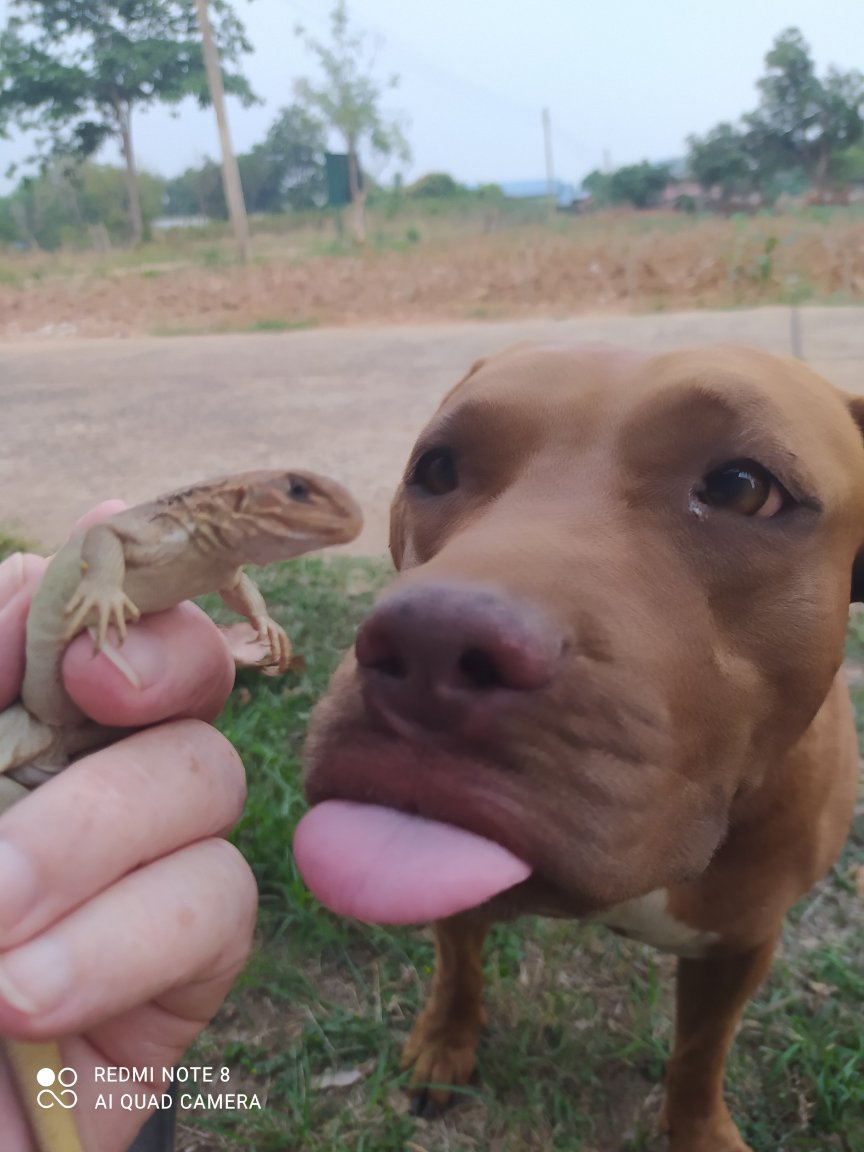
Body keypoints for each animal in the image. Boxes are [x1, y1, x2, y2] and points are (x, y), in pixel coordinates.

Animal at [294, 342, 861, 1152]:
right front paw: (444, 1044)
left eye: (742, 488)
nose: (431, 646)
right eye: (436, 468)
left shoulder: (743, 944)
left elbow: (701, 1051)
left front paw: (699, 1129)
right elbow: (458, 969)